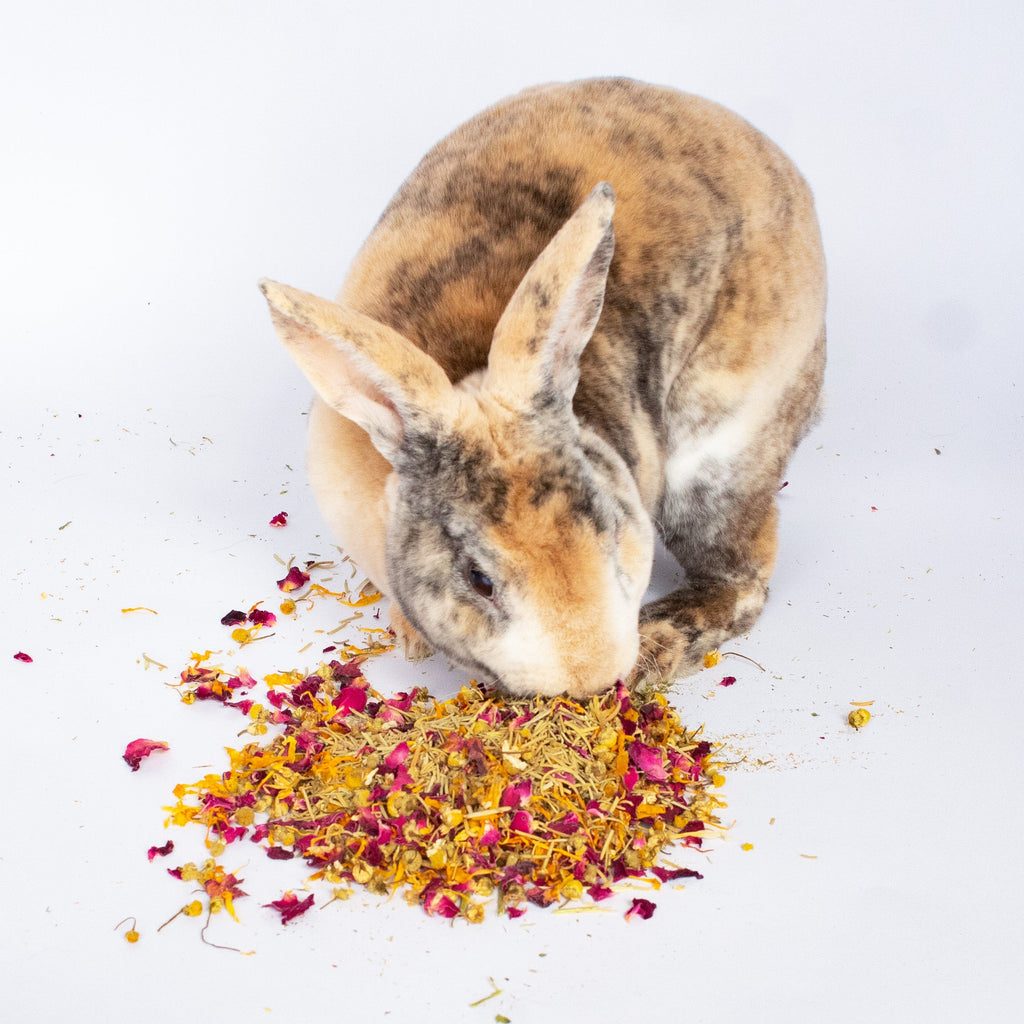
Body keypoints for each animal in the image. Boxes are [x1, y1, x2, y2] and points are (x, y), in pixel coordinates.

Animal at [260, 77, 825, 698]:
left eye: (610, 528)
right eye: (479, 579)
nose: (590, 676)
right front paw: (409, 637)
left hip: (719, 464)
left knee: (743, 579)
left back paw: (657, 645)